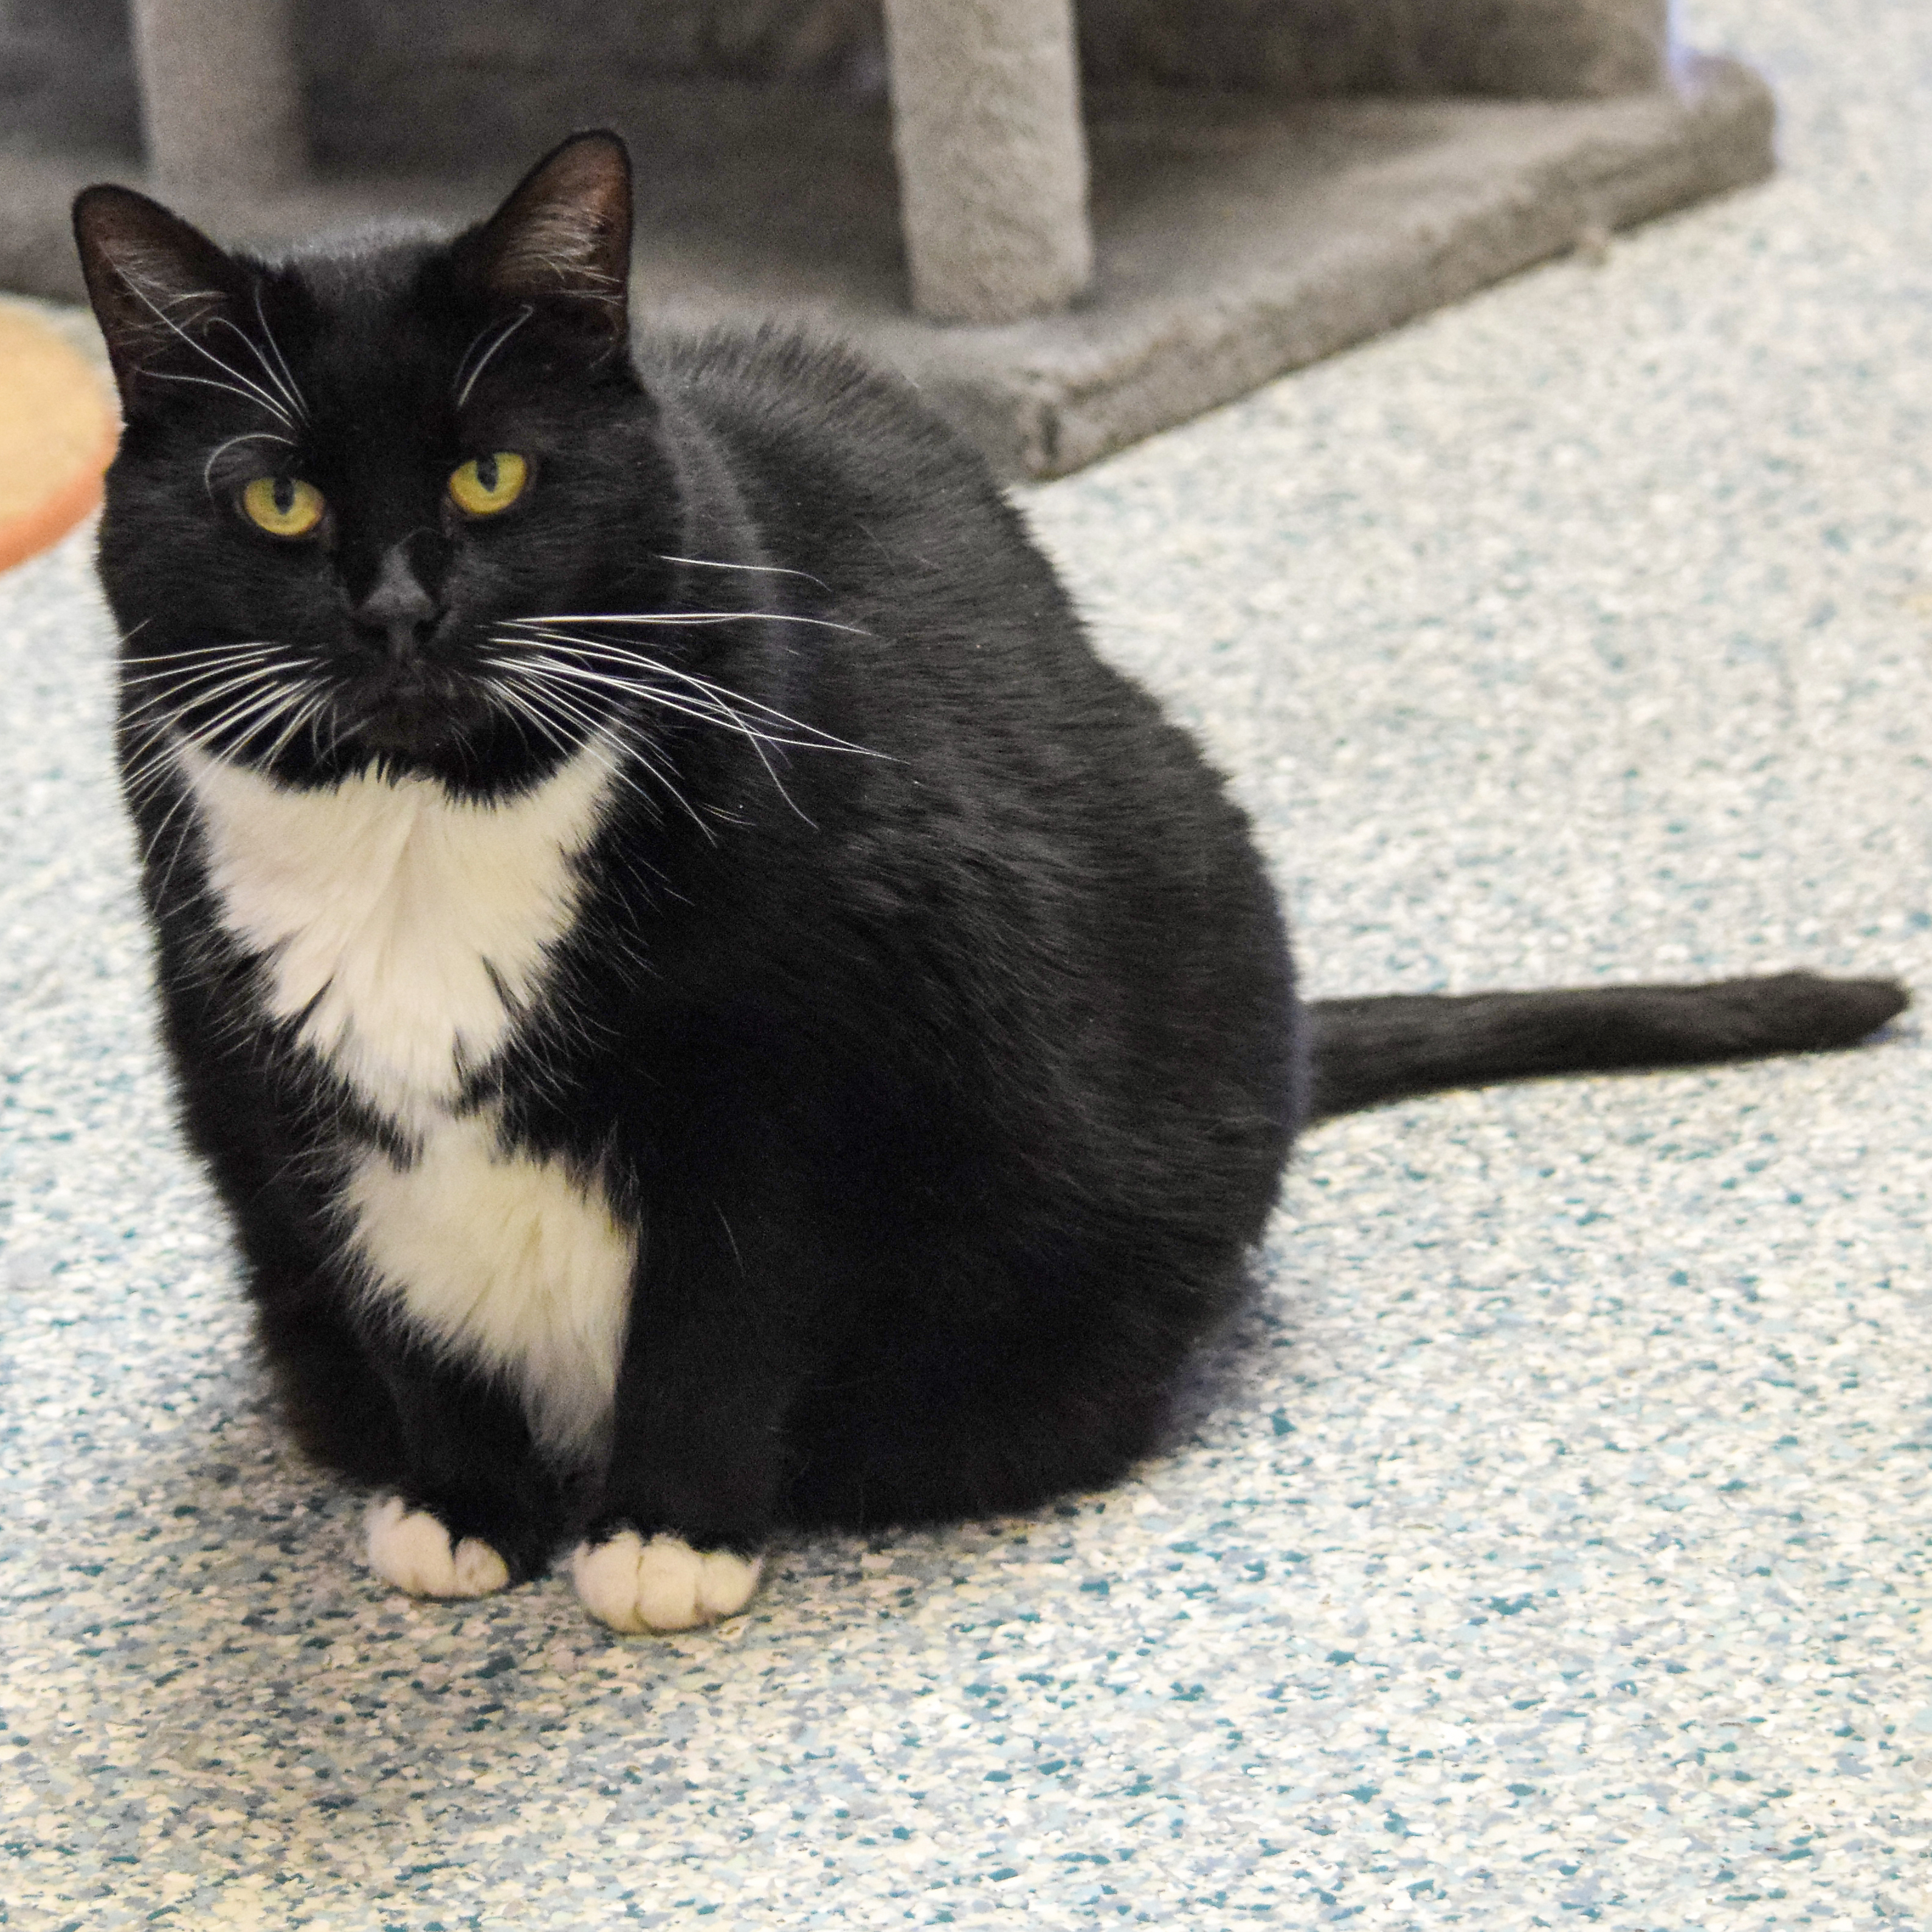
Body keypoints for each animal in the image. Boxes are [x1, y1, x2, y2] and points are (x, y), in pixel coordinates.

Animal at [71, 132, 1901, 1630]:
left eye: (490, 473)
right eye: (276, 495)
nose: (394, 614)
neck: (425, 836)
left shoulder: (799, 1061)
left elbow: (722, 1305)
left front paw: (667, 1535)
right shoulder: (277, 1080)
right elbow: (406, 1298)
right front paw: (464, 1505)